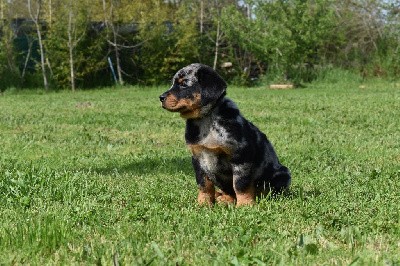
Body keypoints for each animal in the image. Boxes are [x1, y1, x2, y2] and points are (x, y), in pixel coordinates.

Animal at [159, 62, 290, 206]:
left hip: (283, 175)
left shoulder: (241, 157)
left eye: (184, 84)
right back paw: (223, 198)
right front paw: (203, 204)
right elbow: (204, 185)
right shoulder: (197, 158)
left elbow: (240, 184)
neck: (206, 120)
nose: (161, 98)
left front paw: (245, 205)